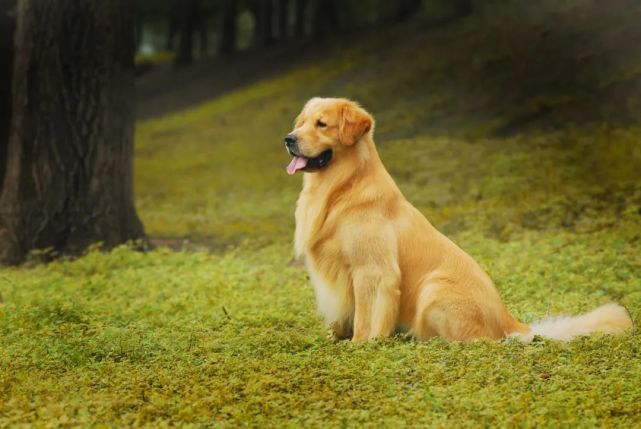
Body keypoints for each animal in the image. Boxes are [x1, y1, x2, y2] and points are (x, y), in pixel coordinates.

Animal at [284, 96, 632, 342]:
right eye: (301, 123)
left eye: (322, 124)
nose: (289, 139)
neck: (342, 186)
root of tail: (509, 322)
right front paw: (334, 339)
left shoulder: (372, 271)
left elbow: (366, 319)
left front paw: (360, 345)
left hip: (433, 289)